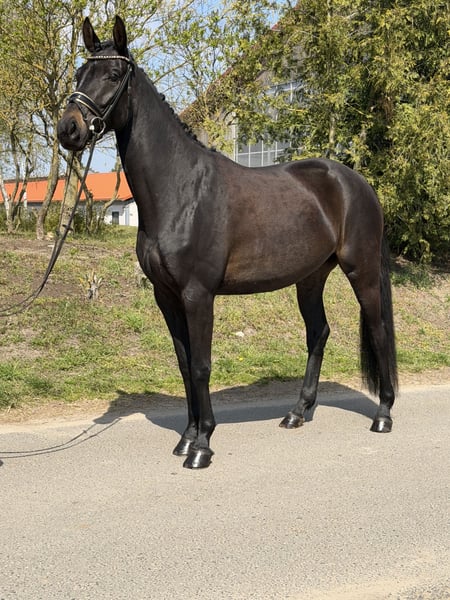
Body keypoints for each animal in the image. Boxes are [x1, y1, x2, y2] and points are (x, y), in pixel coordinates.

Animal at [57, 16, 397, 469]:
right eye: (80, 73)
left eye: (113, 75)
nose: (68, 129)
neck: (180, 190)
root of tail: (357, 183)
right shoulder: (167, 296)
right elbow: (184, 365)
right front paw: (186, 438)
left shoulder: (198, 294)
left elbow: (202, 365)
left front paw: (202, 446)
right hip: (310, 278)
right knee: (318, 333)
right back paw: (297, 412)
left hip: (361, 269)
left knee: (378, 330)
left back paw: (383, 415)